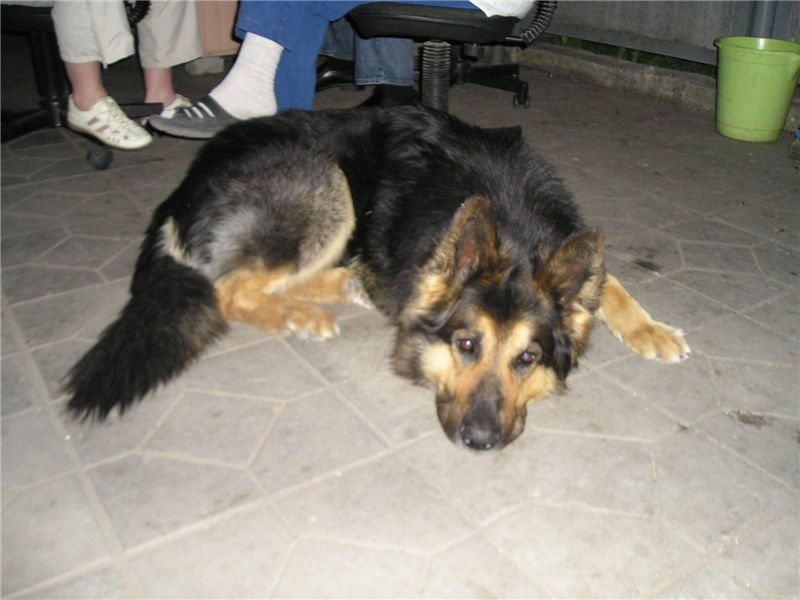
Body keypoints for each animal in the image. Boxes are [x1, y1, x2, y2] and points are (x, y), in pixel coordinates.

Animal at [65, 105, 689, 450]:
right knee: (228, 287)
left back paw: (344, 285)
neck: (509, 222)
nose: (480, 442)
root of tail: (185, 186)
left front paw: (652, 329)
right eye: (466, 345)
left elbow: (610, 281)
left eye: (527, 359)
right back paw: (301, 311)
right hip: (325, 180)